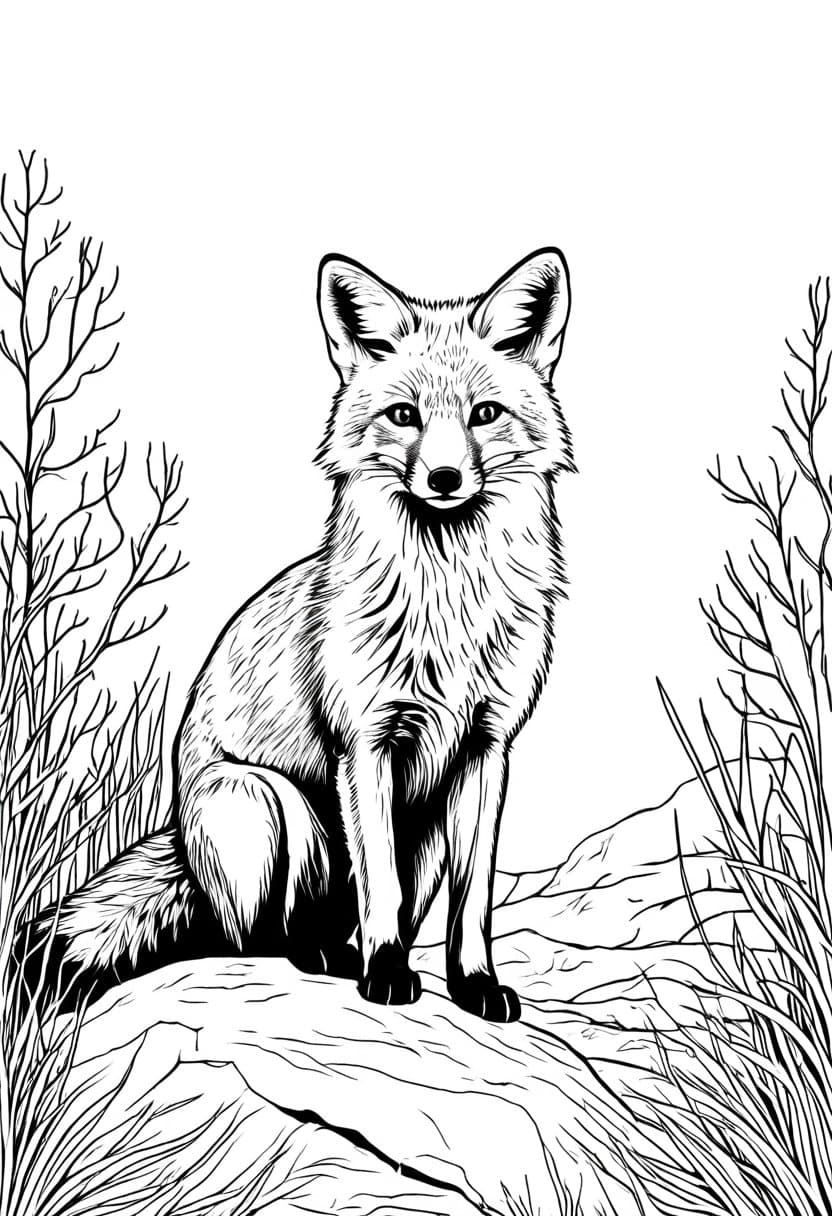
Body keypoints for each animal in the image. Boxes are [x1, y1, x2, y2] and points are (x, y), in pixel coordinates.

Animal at [24, 248, 574, 1023]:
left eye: (485, 415)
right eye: (404, 416)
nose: (444, 477)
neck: (447, 609)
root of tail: (178, 833)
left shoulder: (486, 749)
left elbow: (471, 904)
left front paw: (473, 985)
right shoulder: (365, 742)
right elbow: (380, 887)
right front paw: (386, 974)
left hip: (421, 832)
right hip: (269, 807)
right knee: (250, 935)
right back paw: (324, 956)